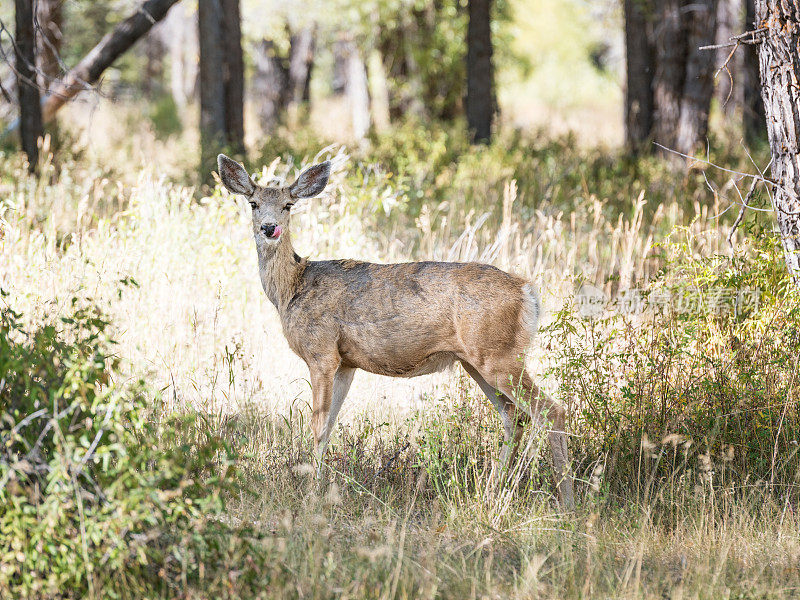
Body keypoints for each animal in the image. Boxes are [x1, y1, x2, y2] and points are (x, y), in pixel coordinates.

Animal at [214, 154, 576, 506]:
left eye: (288, 204)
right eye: (253, 203)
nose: (269, 227)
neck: (292, 287)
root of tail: (528, 292)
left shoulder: (321, 352)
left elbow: (316, 426)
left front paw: (312, 494)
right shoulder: (345, 363)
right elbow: (329, 426)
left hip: (498, 354)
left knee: (551, 411)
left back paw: (563, 500)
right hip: (476, 360)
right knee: (514, 417)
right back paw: (493, 493)